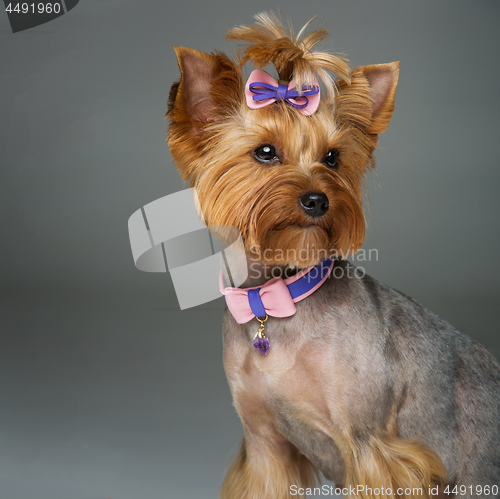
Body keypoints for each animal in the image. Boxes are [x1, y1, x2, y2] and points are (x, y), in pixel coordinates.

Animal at [166, 12, 498, 499]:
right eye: (265, 152)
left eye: (333, 157)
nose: (317, 200)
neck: (277, 300)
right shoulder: (265, 446)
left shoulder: (370, 449)